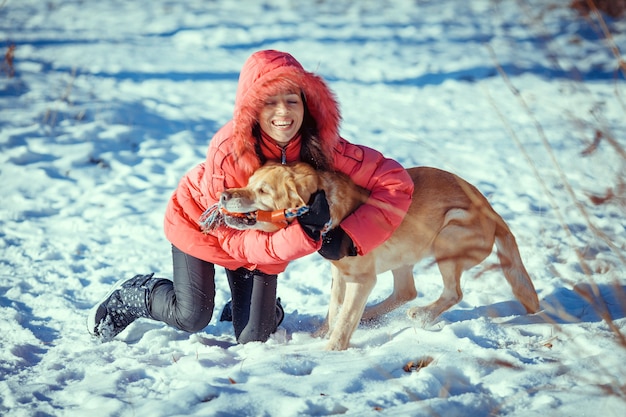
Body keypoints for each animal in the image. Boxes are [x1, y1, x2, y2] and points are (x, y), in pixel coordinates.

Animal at [213, 161, 536, 350]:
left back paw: (421, 314)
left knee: (452, 293)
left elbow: (344, 320)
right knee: (407, 291)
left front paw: (331, 350)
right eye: (248, 181)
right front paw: (320, 336)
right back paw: (371, 315)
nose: (224, 194)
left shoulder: (361, 279)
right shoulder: (339, 274)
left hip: (449, 233)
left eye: (263, 190)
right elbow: (335, 310)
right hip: (406, 255)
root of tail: (494, 213)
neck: (328, 212)